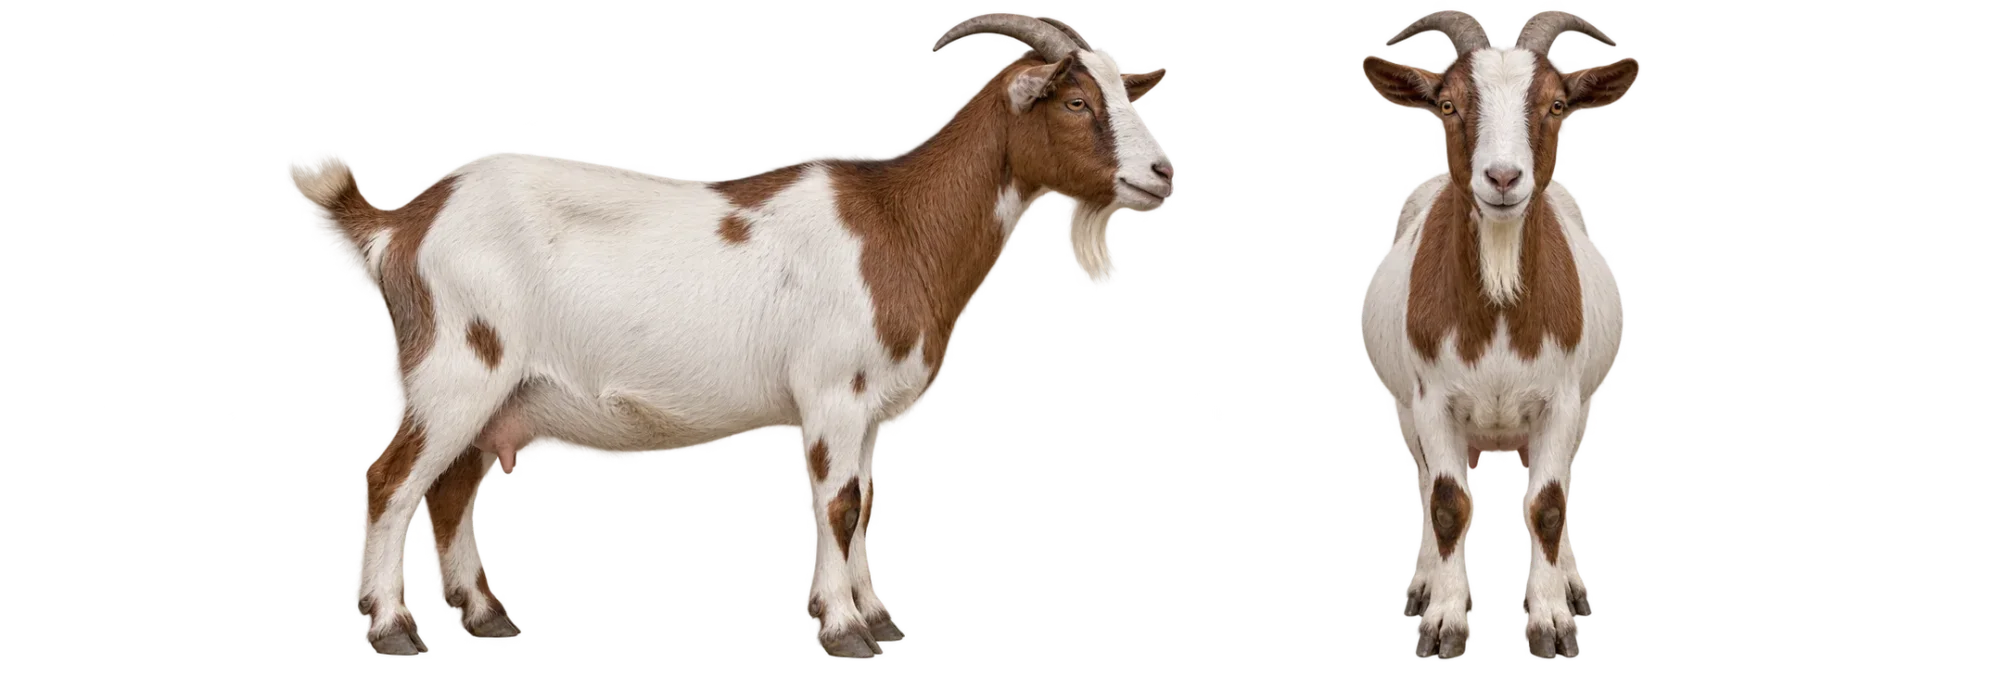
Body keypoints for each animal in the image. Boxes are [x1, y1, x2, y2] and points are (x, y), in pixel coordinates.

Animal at [286, 11, 1175, 659]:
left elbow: (867, 501)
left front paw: (874, 614)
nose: (1165, 173)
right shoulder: (832, 393)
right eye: (1075, 102)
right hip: (455, 370)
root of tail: (404, 227)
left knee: (449, 488)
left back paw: (484, 615)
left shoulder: (868, 410)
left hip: (493, 389)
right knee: (392, 484)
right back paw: (391, 629)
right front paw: (845, 630)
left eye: (1125, 94)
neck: (899, 223)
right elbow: (838, 504)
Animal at [1356, 8, 1636, 661]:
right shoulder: (1431, 401)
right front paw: (1445, 622)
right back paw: (1429, 585)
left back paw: (1568, 586)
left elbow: (1548, 505)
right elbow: (1448, 504)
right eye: (1447, 104)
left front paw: (1553, 622)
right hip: (1404, 404)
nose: (1503, 177)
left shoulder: (1562, 401)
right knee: (1428, 480)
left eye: (1558, 104)